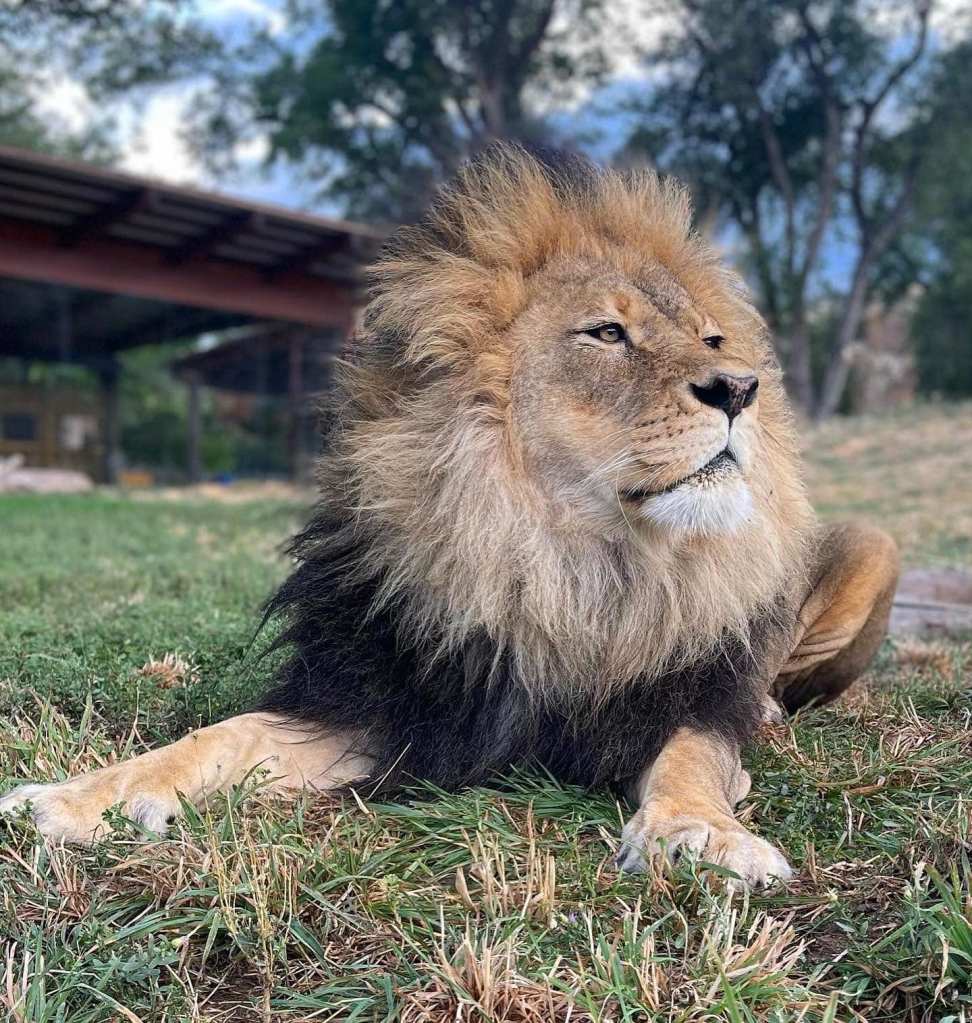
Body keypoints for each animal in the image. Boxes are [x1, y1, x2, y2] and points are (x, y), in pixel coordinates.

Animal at [0, 146, 900, 887]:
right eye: (607, 333)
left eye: (713, 340)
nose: (742, 388)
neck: (566, 560)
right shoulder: (389, 703)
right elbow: (222, 734)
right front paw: (77, 798)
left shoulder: (686, 704)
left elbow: (693, 762)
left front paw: (701, 836)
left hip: (874, 542)